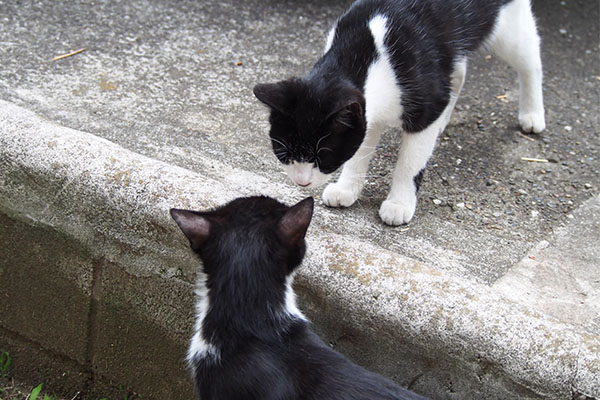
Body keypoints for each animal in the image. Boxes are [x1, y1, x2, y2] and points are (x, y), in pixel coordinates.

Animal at [253, 0, 544, 225]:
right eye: (283, 154)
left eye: (322, 157)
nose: (302, 182)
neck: (368, 54)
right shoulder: (367, 114)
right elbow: (360, 149)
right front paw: (347, 188)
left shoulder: (423, 106)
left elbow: (410, 163)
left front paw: (399, 203)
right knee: (457, 72)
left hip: (509, 28)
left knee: (530, 59)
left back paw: (532, 115)